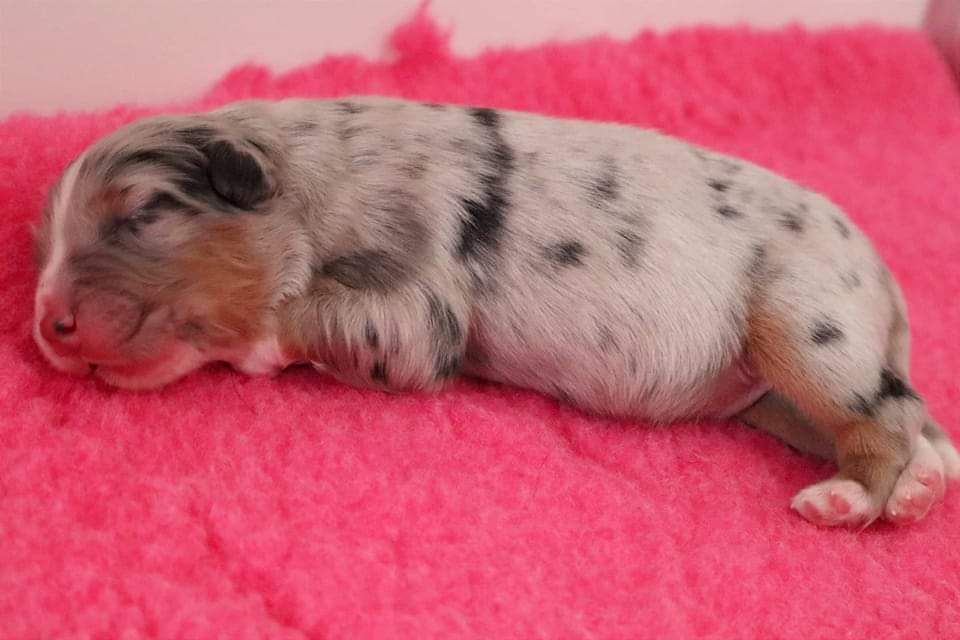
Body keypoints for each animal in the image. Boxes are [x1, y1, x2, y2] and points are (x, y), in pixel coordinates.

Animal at [32, 96, 960, 527]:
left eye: (143, 214)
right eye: (44, 241)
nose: (46, 326)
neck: (309, 166)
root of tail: (881, 273)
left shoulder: (420, 309)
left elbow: (323, 316)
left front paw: (256, 339)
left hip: (803, 321)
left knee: (889, 412)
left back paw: (853, 501)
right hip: (779, 394)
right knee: (911, 417)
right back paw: (920, 490)